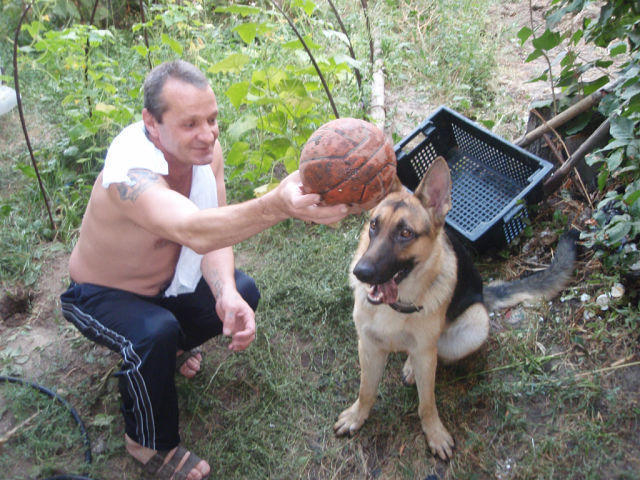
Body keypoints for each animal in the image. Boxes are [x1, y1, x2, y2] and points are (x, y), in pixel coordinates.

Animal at [334, 156, 577, 460]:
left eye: (405, 233)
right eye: (374, 226)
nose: (362, 272)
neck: (397, 305)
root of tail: (483, 293)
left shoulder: (425, 354)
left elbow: (427, 402)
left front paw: (434, 433)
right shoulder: (367, 346)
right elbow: (366, 390)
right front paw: (357, 416)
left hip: (473, 327)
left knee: (434, 352)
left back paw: (412, 367)